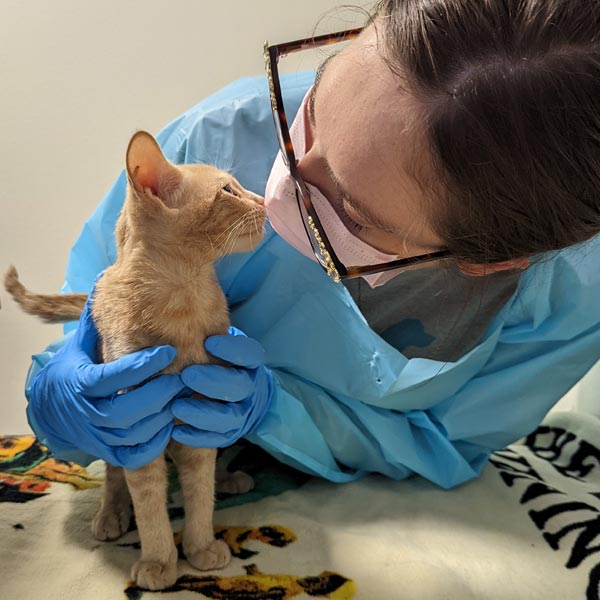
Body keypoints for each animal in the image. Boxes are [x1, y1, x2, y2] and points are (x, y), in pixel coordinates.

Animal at [4, 132, 266, 592]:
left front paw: (200, 546)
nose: (264, 201)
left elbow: (200, 493)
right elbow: (149, 504)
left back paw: (228, 478)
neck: (183, 301)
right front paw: (160, 561)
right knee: (113, 473)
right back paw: (111, 514)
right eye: (229, 191)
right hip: (112, 423)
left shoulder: (202, 414)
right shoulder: (138, 423)